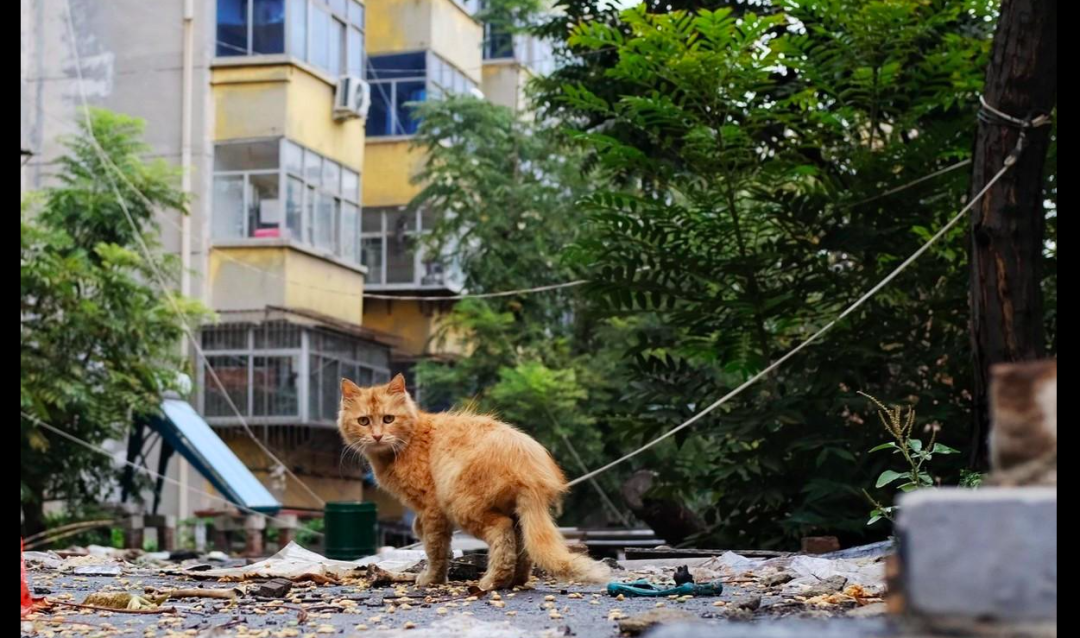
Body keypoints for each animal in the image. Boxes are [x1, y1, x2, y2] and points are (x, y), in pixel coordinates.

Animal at [336, 373, 609, 587]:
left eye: (388, 419)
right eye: (363, 421)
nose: (377, 436)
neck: (409, 441)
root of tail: (529, 465)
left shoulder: (433, 508)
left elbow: (435, 547)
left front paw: (432, 579)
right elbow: (422, 532)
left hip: (462, 505)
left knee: (502, 533)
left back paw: (493, 581)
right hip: (515, 512)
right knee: (522, 545)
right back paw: (515, 580)